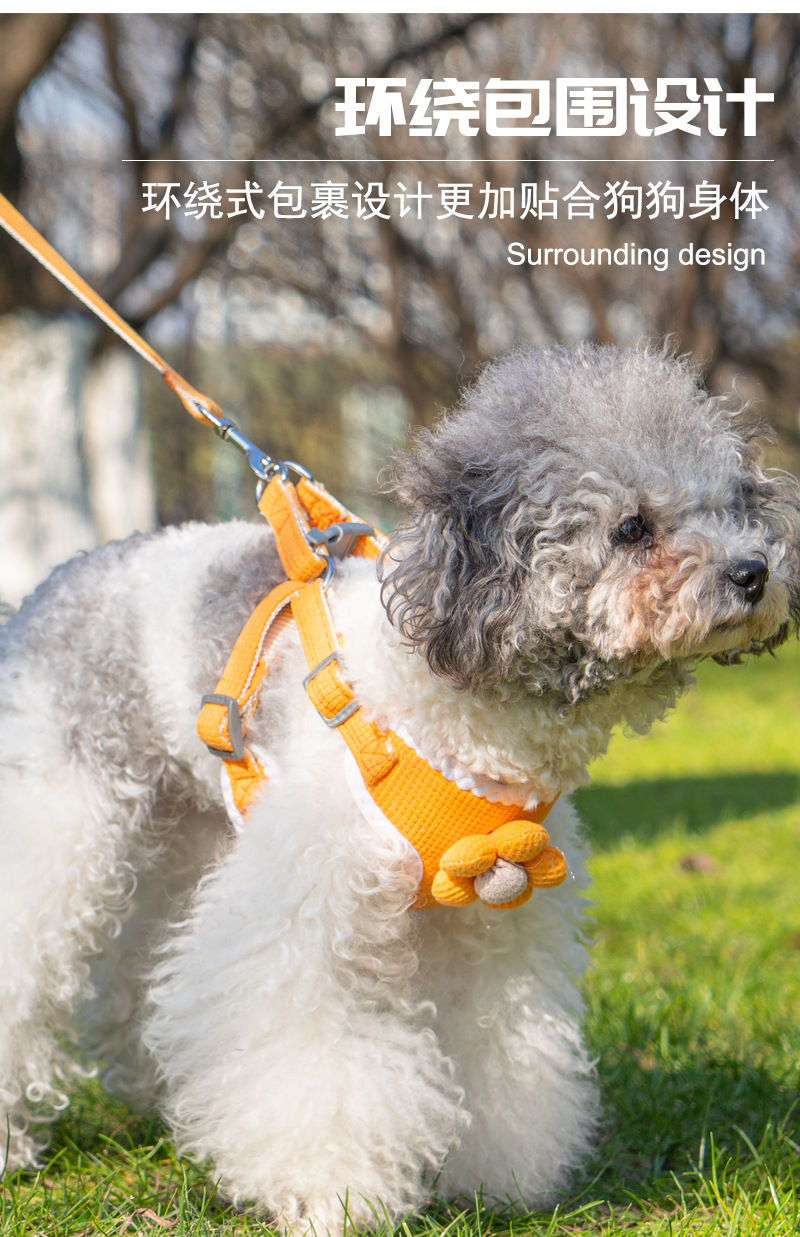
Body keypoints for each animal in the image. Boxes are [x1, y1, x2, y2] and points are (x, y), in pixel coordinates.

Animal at [0, 342, 797, 1233]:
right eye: (631, 528)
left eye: (729, 504)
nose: (755, 571)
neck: (445, 713)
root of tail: (53, 580)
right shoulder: (304, 912)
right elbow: (310, 1059)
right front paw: (334, 1194)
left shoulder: (493, 923)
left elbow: (499, 1053)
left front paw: (496, 1178)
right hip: (59, 819)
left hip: (188, 835)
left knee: (139, 969)